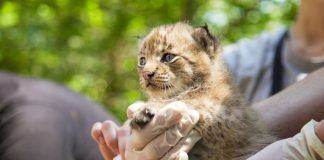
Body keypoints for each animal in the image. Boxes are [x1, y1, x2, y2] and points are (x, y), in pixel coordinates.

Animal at [129, 22, 276, 160]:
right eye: (142, 61)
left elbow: (189, 101)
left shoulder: (224, 116)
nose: (146, 74)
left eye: (168, 57)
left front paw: (148, 109)